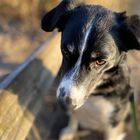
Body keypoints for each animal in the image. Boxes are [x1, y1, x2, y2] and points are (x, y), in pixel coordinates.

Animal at [41, 0, 139, 139]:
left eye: (100, 61)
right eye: (66, 51)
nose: (64, 102)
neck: (96, 93)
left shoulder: (114, 121)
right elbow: (74, 119)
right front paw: (70, 131)